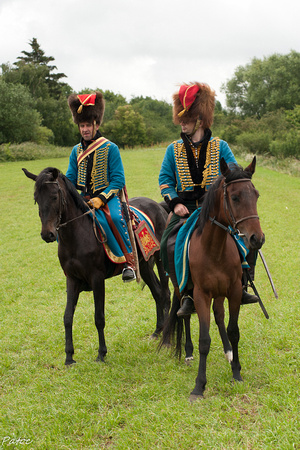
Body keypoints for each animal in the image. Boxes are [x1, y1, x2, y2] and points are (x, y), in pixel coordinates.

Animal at [22, 167, 170, 364]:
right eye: (36, 198)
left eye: (54, 196)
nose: (47, 234)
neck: (77, 235)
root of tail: (158, 206)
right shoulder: (72, 279)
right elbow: (67, 317)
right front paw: (69, 356)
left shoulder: (97, 279)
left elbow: (99, 317)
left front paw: (101, 353)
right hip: (144, 265)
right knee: (157, 293)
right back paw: (157, 330)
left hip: (160, 260)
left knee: (165, 293)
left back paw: (166, 337)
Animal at [161, 156, 264, 400]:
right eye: (235, 197)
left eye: (255, 195)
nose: (256, 238)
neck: (214, 249)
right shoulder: (201, 295)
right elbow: (204, 339)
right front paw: (199, 386)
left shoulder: (233, 292)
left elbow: (233, 330)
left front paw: (236, 372)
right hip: (182, 290)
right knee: (184, 316)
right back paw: (188, 353)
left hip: (220, 293)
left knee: (219, 316)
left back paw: (228, 352)